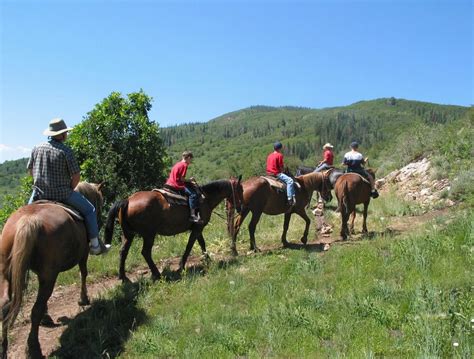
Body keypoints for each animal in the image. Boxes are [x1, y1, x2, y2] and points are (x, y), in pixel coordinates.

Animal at [0, 183, 103, 359]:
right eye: (100, 202)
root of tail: (29, 221)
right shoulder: (83, 255)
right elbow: (83, 273)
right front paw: (83, 299)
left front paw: (47, 316)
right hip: (50, 276)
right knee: (35, 310)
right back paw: (34, 348)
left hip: (7, 273)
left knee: (4, 306)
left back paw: (3, 349)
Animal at [104, 176, 244, 282]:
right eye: (240, 190)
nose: (241, 207)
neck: (206, 198)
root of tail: (127, 200)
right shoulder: (197, 228)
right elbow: (189, 246)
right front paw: (181, 266)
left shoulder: (198, 228)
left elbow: (202, 243)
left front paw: (208, 259)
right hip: (149, 234)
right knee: (145, 252)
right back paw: (157, 274)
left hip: (128, 234)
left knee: (123, 252)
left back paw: (123, 277)